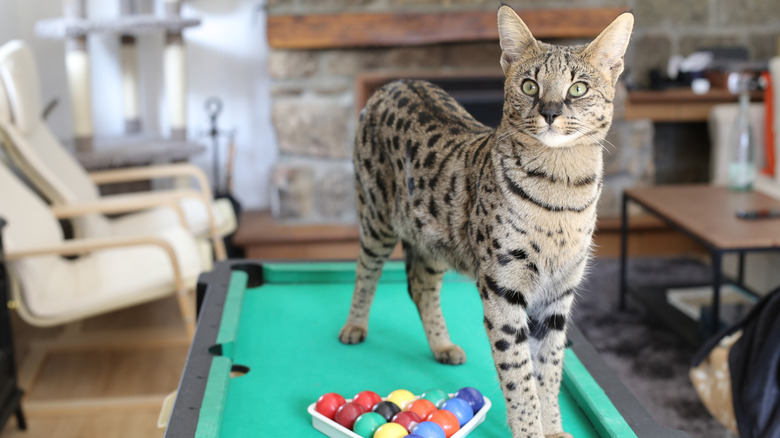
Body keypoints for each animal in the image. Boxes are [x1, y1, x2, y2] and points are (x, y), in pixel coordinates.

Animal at [340, 6, 632, 438]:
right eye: (529, 86)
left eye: (578, 89)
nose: (550, 112)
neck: (562, 189)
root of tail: (397, 80)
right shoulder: (503, 289)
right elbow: (519, 376)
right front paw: (530, 431)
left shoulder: (560, 295)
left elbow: (549, 372)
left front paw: (554, 428)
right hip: (375, 214)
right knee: (366, 270)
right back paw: (354, 326)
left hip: (434, 236)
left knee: (420, 286)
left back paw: (442, 346)